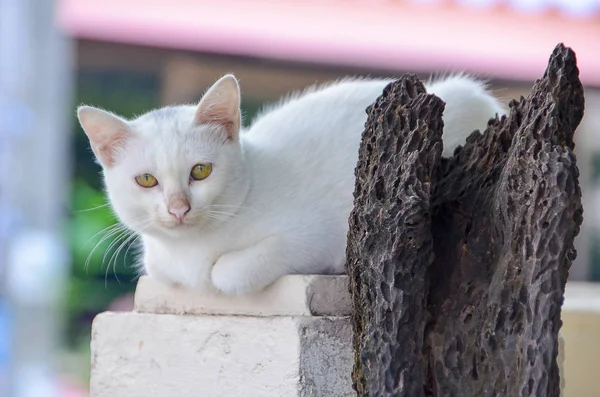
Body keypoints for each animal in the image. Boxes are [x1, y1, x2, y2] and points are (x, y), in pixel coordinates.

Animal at [77, 73, 504, 294]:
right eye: (146, 180)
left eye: (200, 171)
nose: (178, 208)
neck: (192, 251)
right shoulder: (159, 263)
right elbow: (160, 268)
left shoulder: (321, 234)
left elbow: (229, 273)